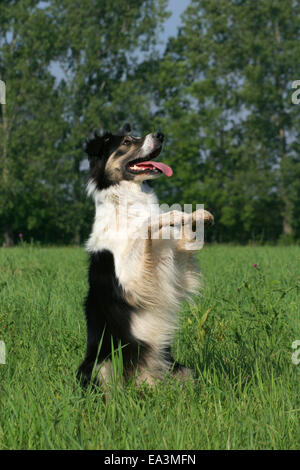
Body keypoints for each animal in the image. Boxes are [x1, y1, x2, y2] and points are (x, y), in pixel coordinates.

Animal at [77, 123, 213, 388]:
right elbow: (147, 227)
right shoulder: (131, 281)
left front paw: (198, 215)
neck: (129, 201)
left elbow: (184, 241)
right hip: (102, 362)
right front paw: (170, 215)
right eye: (127, 141)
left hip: (179, 369)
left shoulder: (176, 270)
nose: (160, 135)